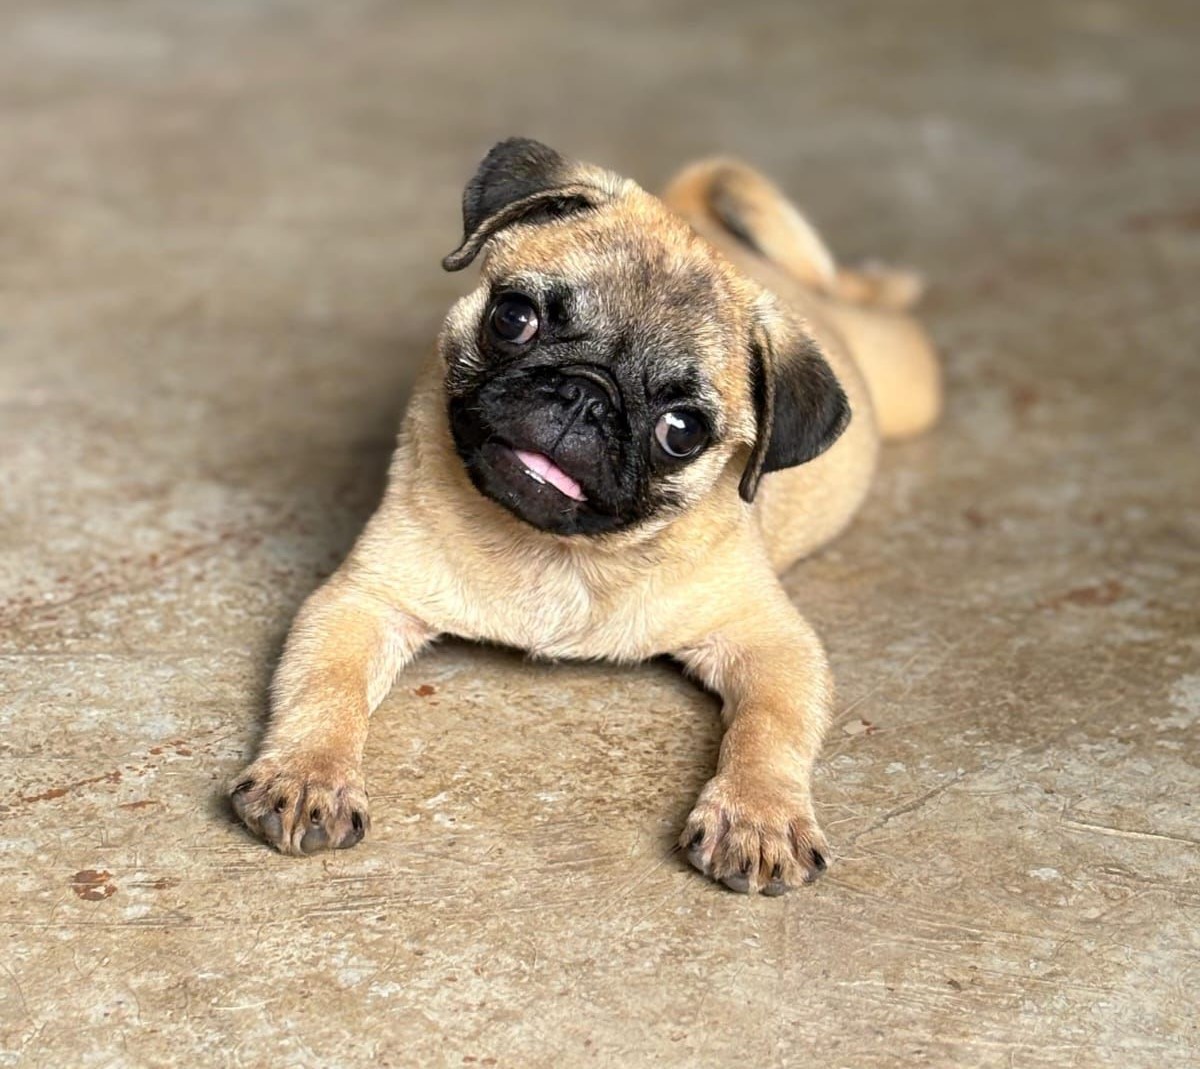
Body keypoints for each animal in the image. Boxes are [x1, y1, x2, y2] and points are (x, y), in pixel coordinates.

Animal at [225, 139, 936, 892]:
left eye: (682, 431)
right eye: (513, 318)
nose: (585, 397)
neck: (557, 551)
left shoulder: (772, 643)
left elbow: (769, 728)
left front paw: (759, 817)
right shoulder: (362, 601)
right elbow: (325, 690)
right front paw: (307, 776)